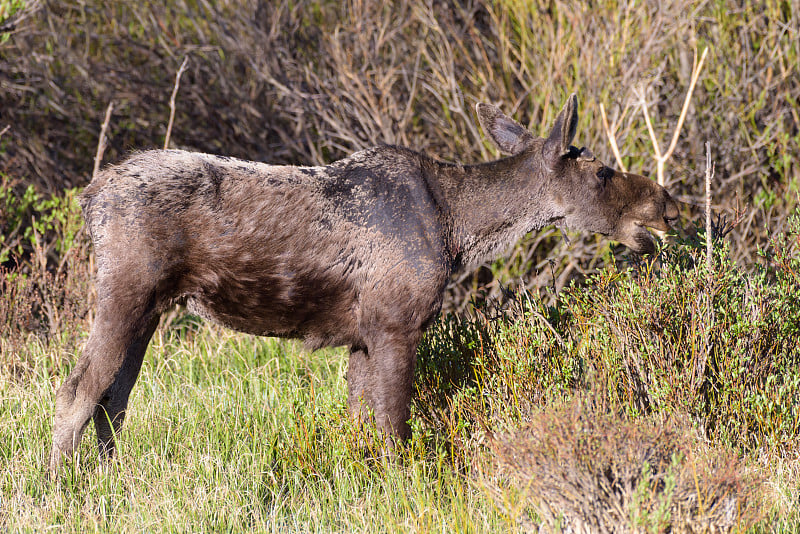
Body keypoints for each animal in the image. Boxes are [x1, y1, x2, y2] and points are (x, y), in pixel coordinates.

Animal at [48, 95, 676, 474]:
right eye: (603, 172)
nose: (666, 204)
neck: (461, 229)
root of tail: (89, 198)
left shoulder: (360, 336)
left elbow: (360, 426)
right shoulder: (396, 323)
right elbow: (395, 431)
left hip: (150, 309)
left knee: (114, 400)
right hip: (124, 291)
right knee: (77, 389)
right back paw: (60, 486)